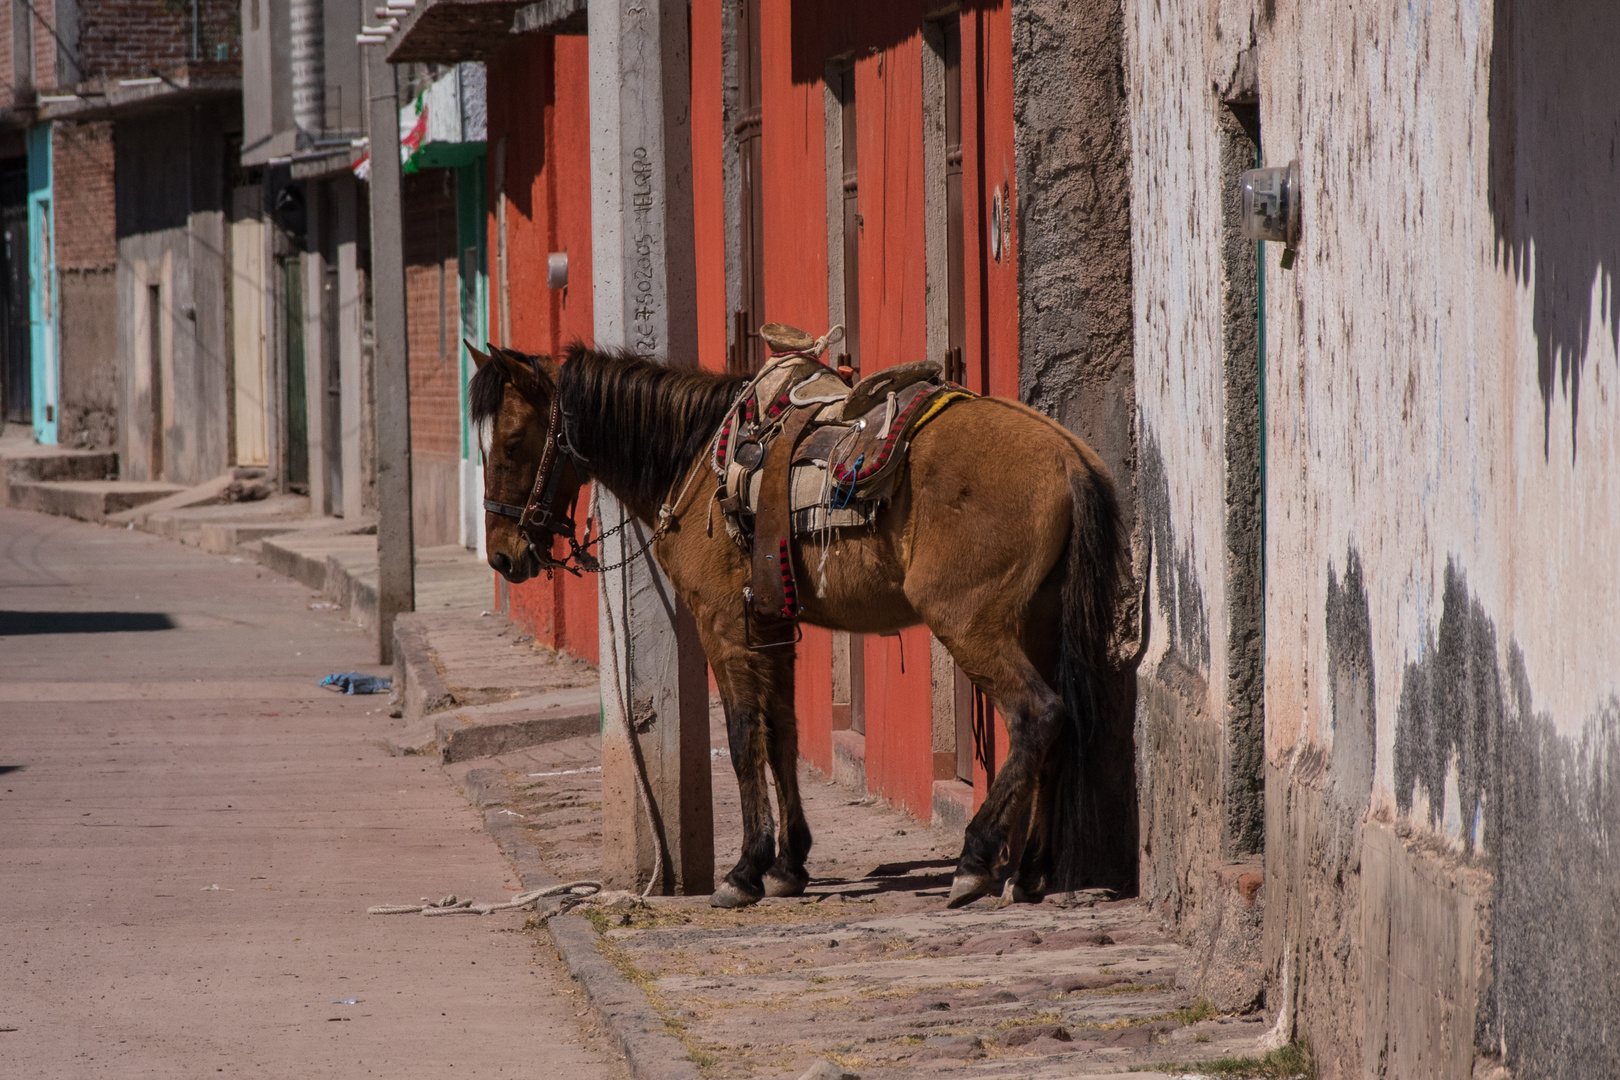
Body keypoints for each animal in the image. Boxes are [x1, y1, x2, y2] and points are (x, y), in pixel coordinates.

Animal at [469, 341, 1127, 906]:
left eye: (512, 444)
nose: (502, 555)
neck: (696, 464)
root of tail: (1068, 457)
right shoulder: (772, 628)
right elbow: (781, 734)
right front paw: (788, 864)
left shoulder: (724, 627)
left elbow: (742, 739)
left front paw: (744, 870)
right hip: (1039, 623)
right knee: (1062, 725)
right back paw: (1031, 871)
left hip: (970, 625)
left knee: (1038, 715)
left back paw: (975, 860)